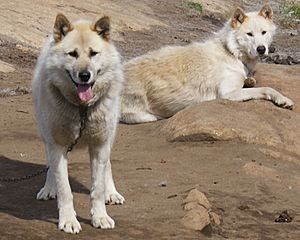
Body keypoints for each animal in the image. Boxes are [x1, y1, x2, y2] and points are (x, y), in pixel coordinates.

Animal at [33, 13, 125, 234]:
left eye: (93, 53)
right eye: (72, 54)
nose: (85, 75)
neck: (82, 109)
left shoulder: (100, 145)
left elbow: (97, 189)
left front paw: (100, 217)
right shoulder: (57, 145)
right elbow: (64, 188)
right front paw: (68, 220)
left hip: (109, 135)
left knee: (108, 165)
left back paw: (112, 192)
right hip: (46, 134)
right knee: (50, 165)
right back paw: (49, 188)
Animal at [120, 4, 294, 124]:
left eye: (264, 32)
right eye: (249, 34)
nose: (261, 49)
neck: (231, 52)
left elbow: (252, 81)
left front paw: (250, 80)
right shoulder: (228, 94)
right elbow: (266, 89)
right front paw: (283, 99)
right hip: (143, 116)